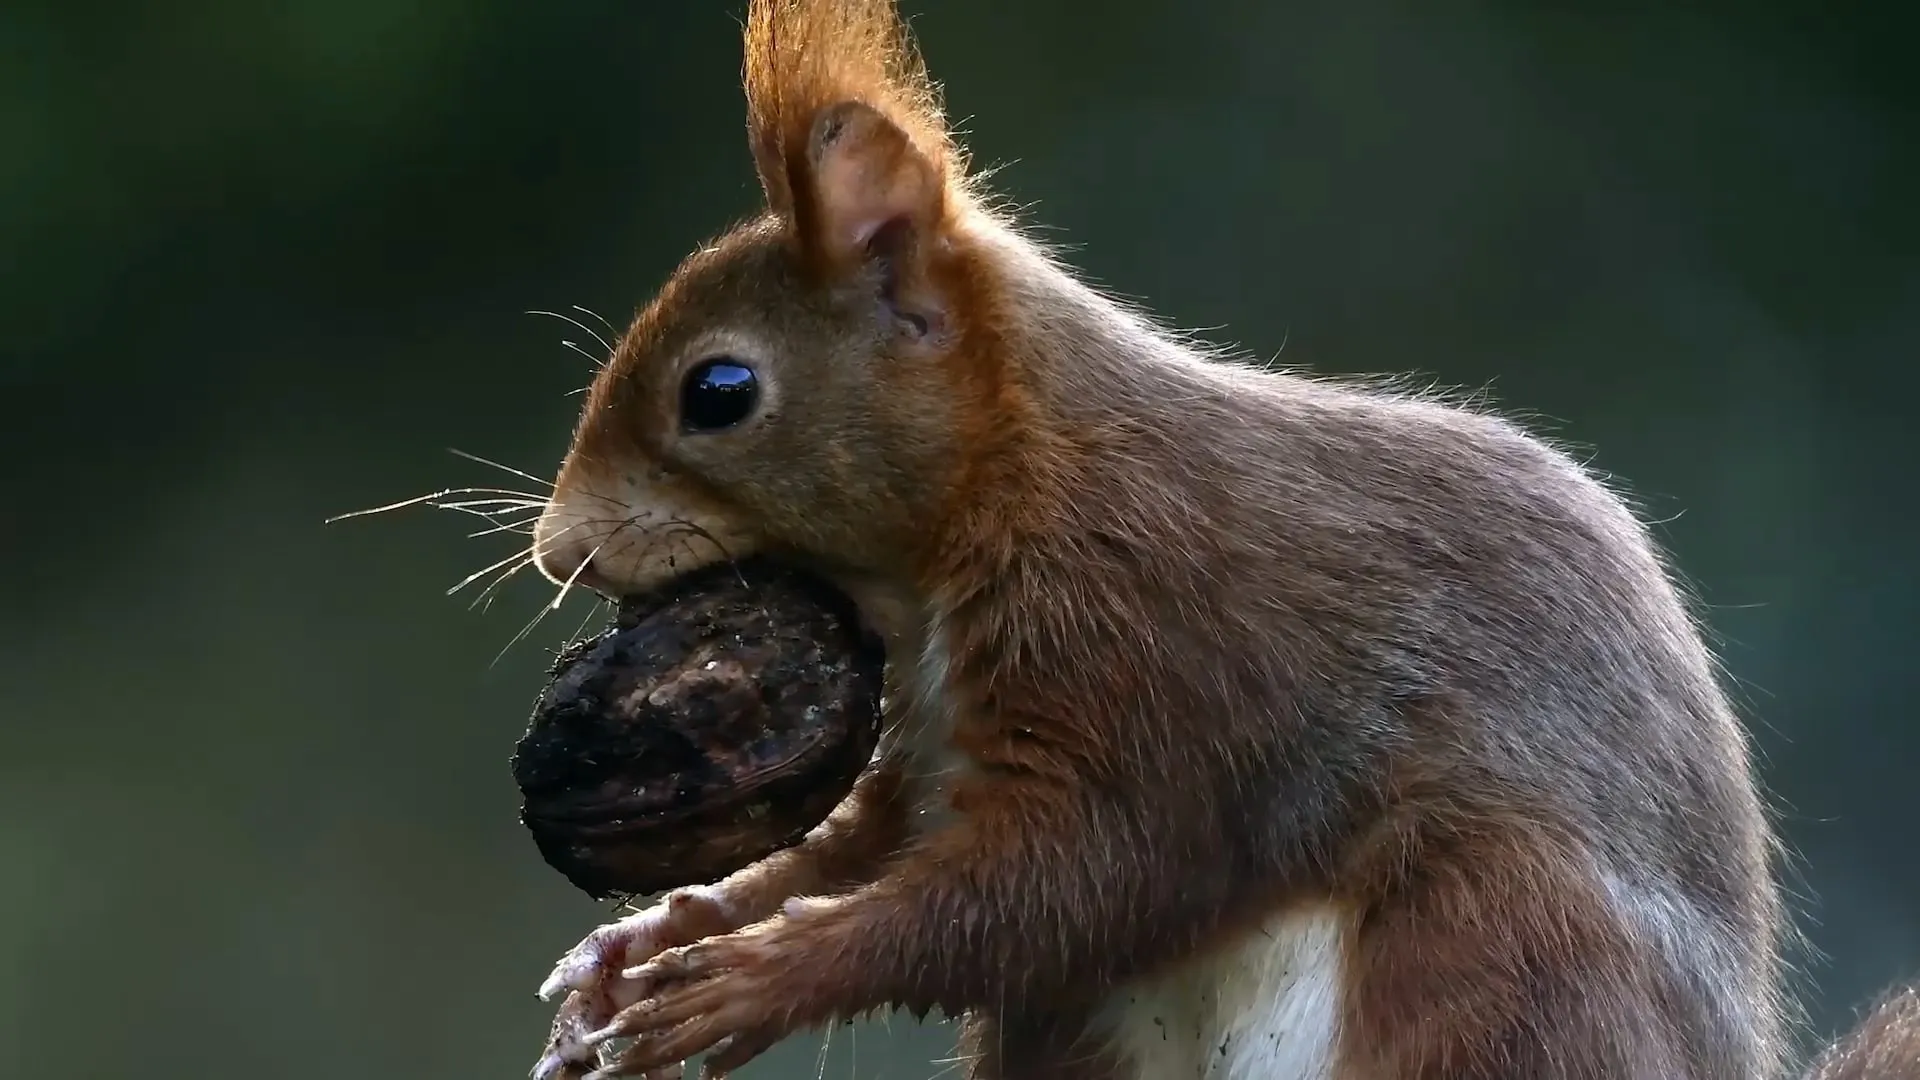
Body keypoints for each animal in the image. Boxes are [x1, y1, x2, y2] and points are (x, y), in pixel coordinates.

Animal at [518, 1, 1920, 1077]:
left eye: (719, 392)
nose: (555, 553)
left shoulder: (1168, 648)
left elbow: (1071, 882)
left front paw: (748, 977)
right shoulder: (940, 745)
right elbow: (878, 845)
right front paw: (654, 939)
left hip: (1497, 948)